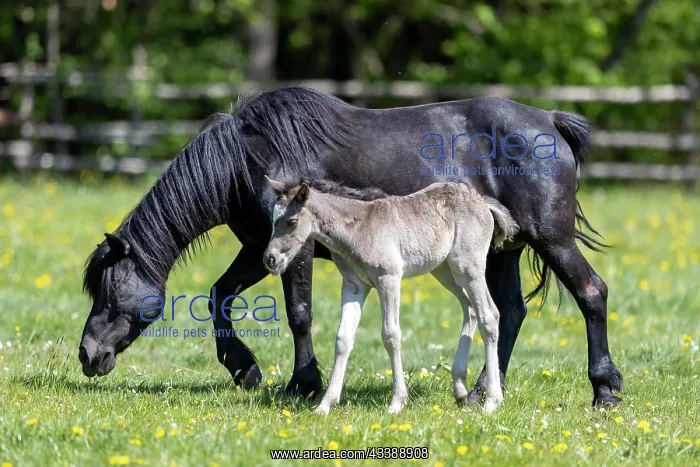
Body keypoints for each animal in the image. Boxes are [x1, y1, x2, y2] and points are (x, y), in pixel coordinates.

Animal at [263, 177, 518, 414]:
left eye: (292, 221)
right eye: (271, 220)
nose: (270, 259)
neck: (356, 229)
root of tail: (482, 202)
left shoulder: (389, 278)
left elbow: (391, 334)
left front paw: (397, 403)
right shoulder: (354, 286)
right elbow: (343, 338)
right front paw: (325, 405)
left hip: (468, 266)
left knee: (489, 315)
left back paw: (492, 401)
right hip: (443, 270)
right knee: (470, 308)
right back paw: (460, 391)